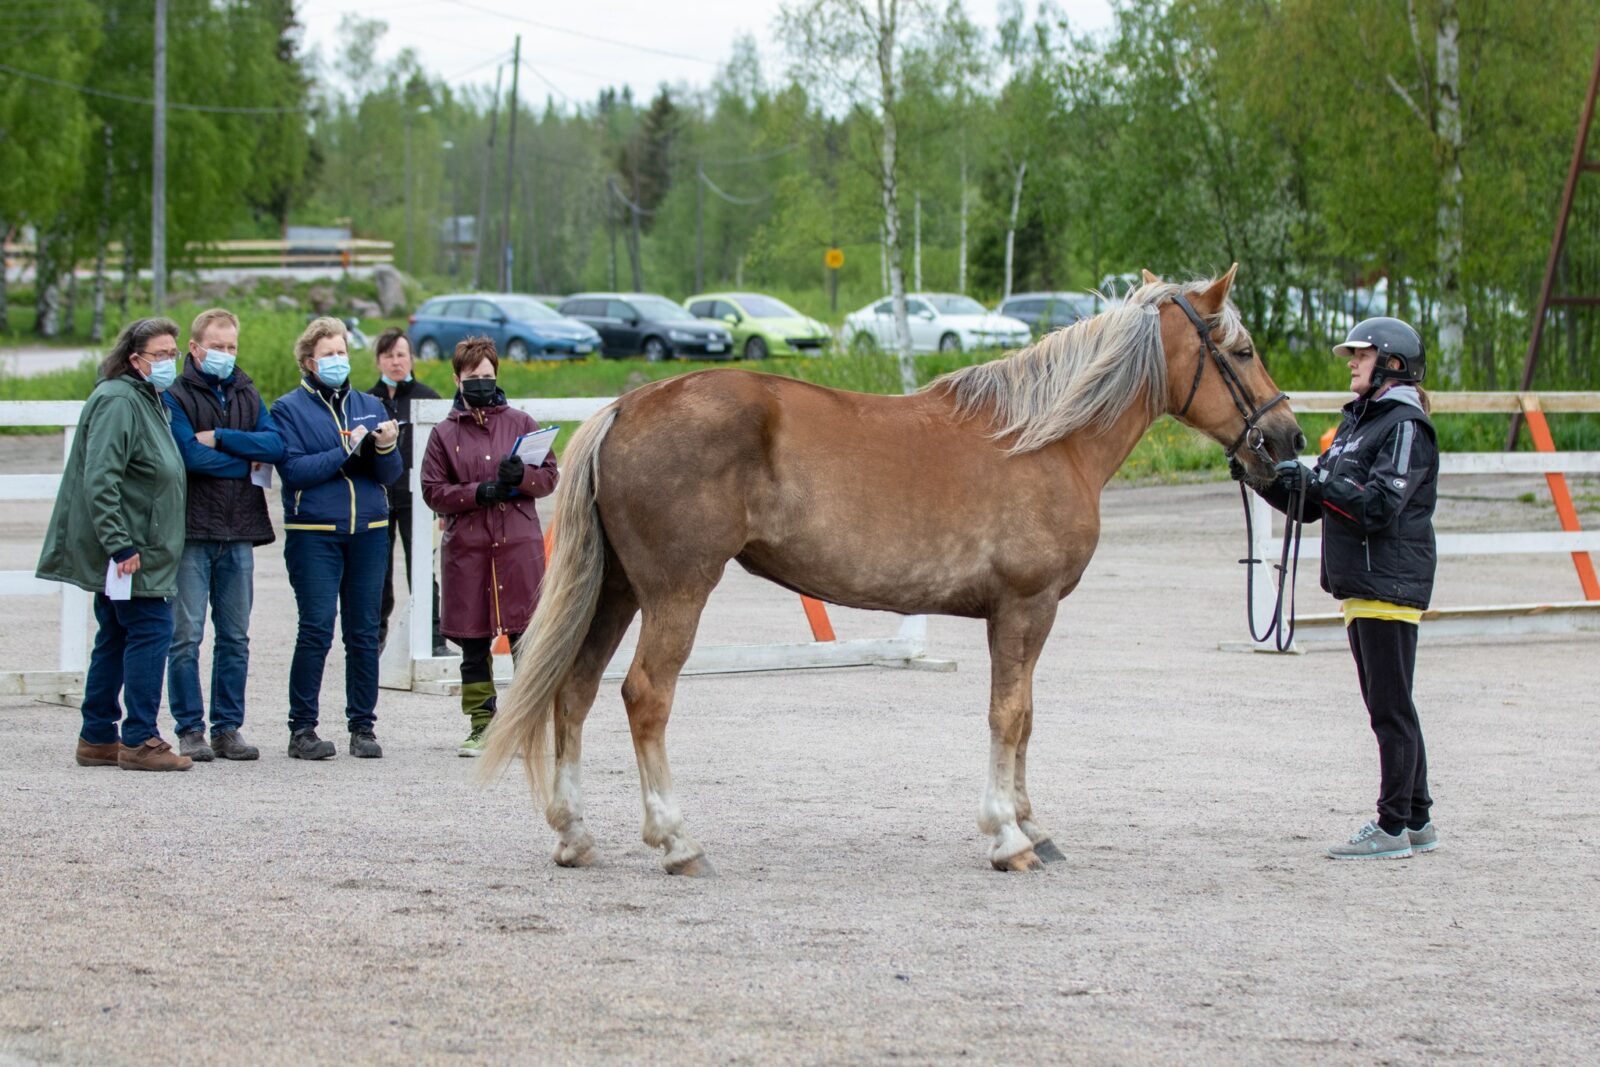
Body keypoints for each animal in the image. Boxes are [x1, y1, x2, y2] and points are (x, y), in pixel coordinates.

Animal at [480, 267, 1305, 876]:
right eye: (1240, 351)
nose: (1289, 439)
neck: (1048, 440)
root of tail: (629, 404)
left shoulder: (1024, 616)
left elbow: (1027, 715)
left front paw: (1033, 825)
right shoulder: (1027, 607)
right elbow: (1009, 715)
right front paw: (1009, 836)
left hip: (618, 591)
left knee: (576, 691)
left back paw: (575, 833)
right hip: (677, 591)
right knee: (645, 695)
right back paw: (678, 841)